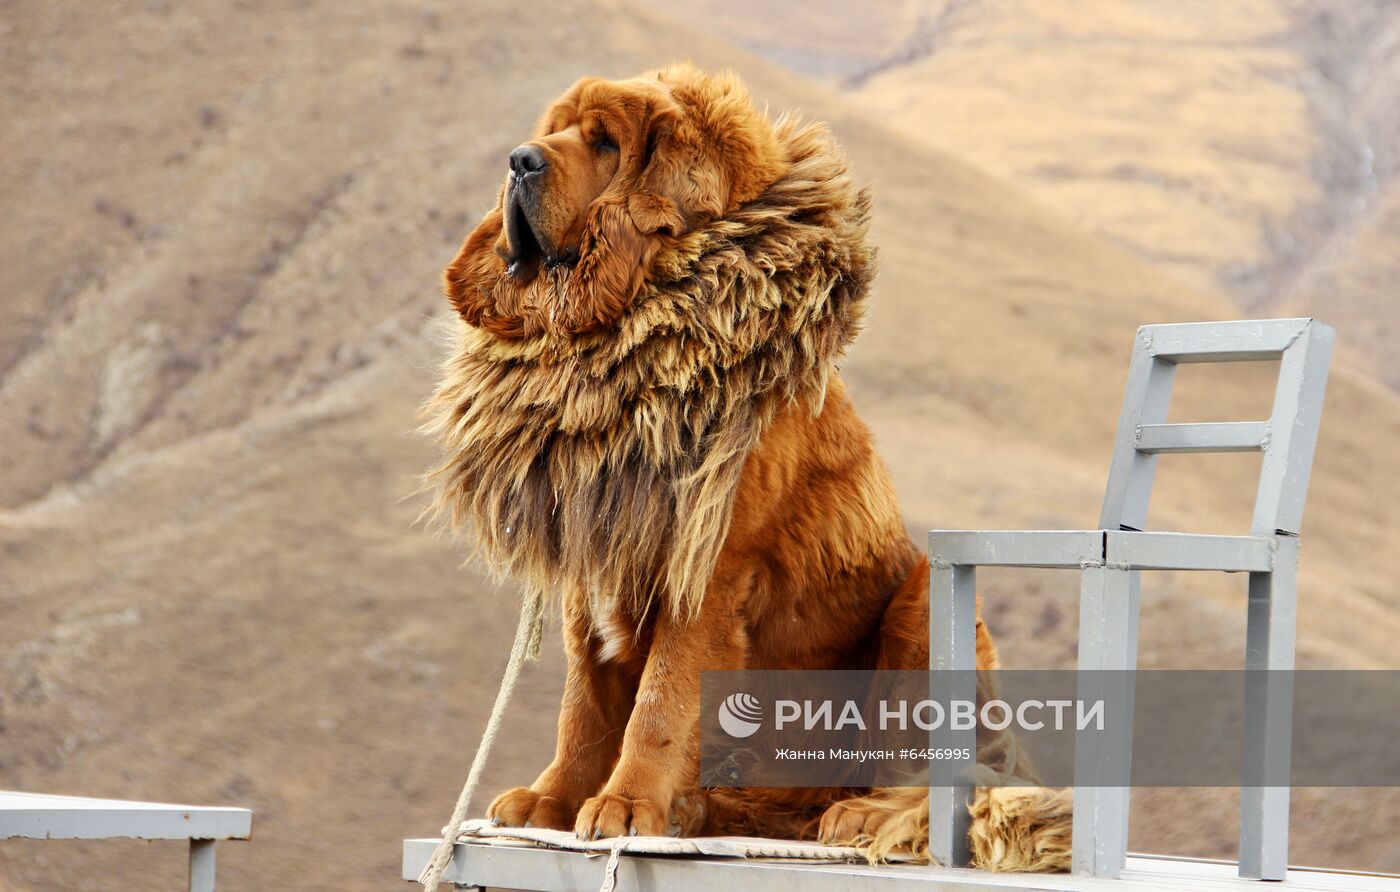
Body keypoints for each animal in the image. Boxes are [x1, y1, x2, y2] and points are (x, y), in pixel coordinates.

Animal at [425, 62, 1069, 868]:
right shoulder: (592, 558)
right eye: (556, 130)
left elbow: (659, 701)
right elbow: (586, 703)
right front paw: (554, 799)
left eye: (605, 142)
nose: (518, 161)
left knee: (925, 776)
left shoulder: (705, 566)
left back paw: (859, 813)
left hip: (923, 603)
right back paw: (705, 809)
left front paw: (627, 805)